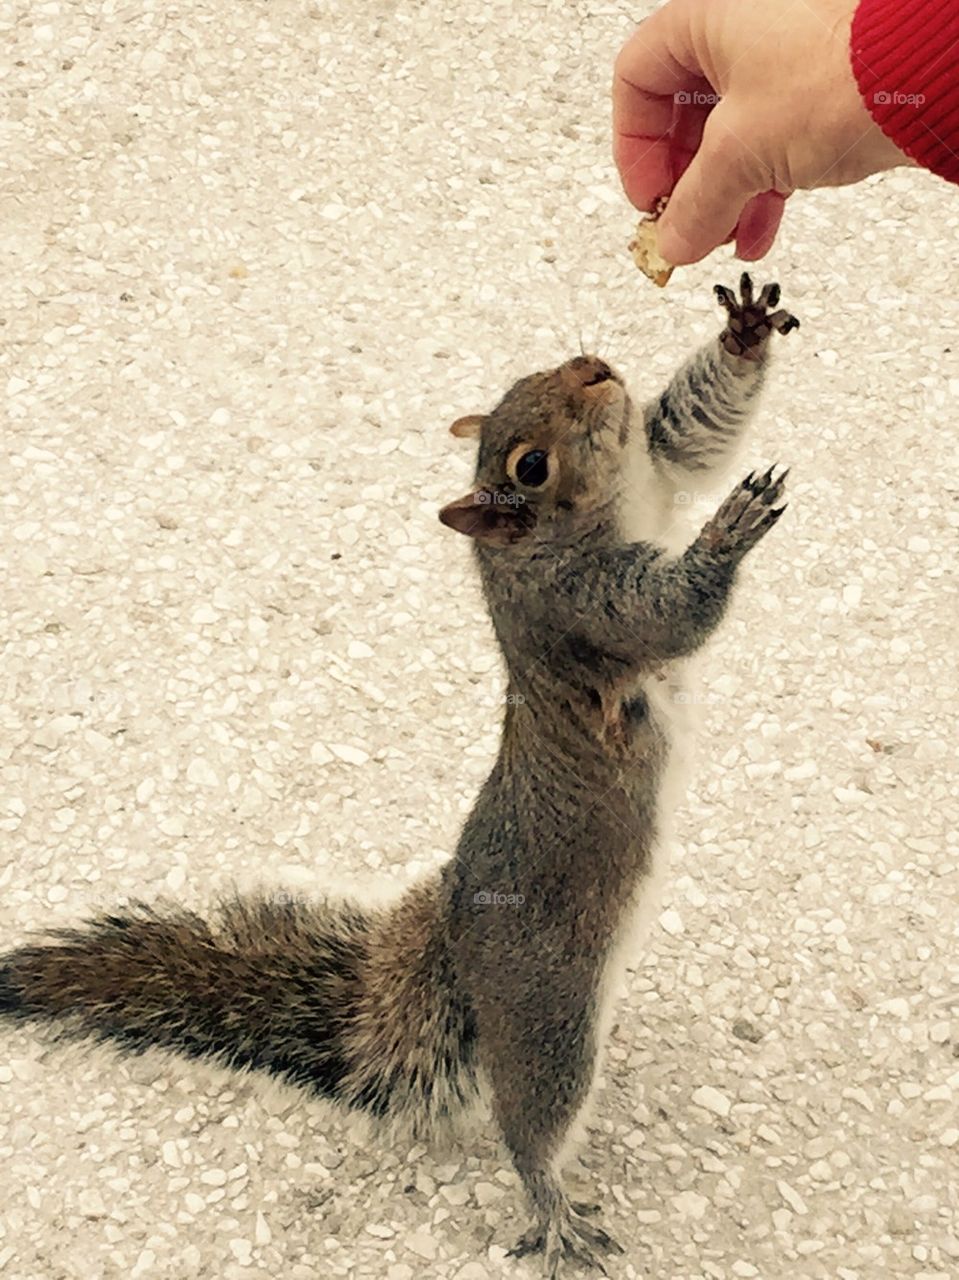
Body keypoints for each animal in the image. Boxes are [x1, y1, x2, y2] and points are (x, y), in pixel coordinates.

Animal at [0, 273, 798, 1277]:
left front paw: (742, 332)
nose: (591, 367)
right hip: (549, 1016)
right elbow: (670, 614)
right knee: (530, 1123)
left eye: (536, 373)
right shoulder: (586, 606)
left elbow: (693, 429)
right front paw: (729, 531)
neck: (597, 511)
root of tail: (453, 934)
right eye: (529, 466)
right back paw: (553, 1212)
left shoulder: (657, 469)